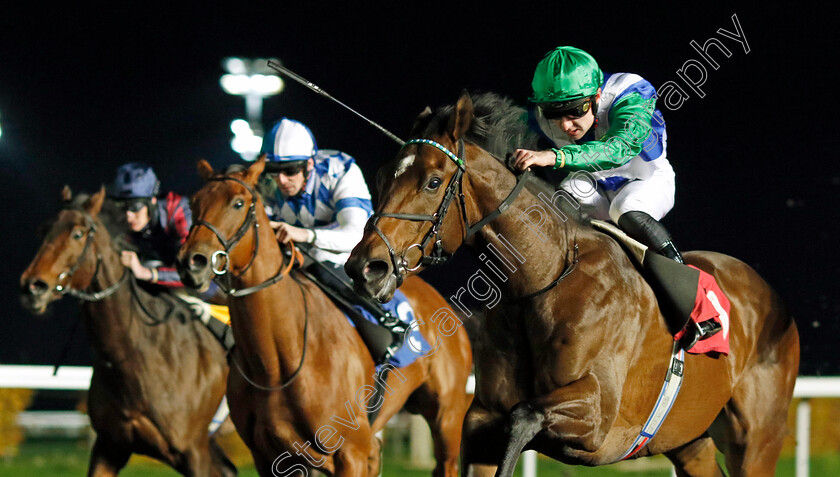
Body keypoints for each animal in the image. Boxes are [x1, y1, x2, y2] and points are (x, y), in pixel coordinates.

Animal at [179, 158, 472, 474]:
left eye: (237, 203)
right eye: (194, 202)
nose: (191, 262)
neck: (276, 362)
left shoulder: (352, 452)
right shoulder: (269, 458)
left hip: (448, 416)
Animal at [346, 91, 800, 474]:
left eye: (433, 181)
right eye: (383, 175)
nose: (366, 267)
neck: (543, 279)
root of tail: (774, 300)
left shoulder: (598, 416)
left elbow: (524, 416)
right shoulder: (481, 418)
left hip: (758, 438)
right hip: (689, 439)